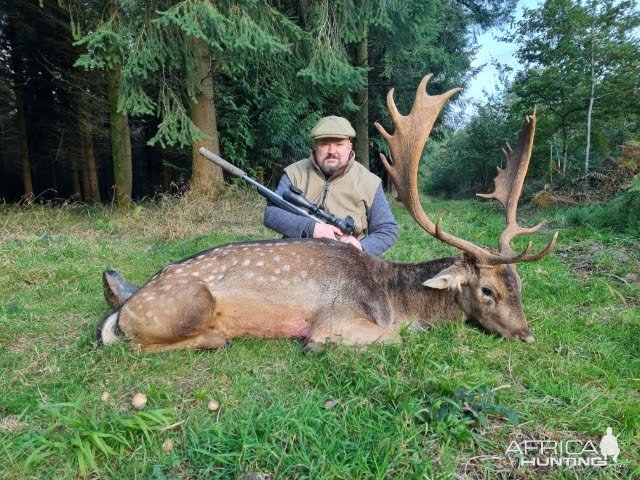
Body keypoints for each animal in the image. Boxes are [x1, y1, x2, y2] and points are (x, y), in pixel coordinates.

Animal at [97, 74, 556, 352]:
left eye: (519, 286)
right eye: (487, 291)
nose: (528, 335)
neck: (394, 301)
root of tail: (126, 307)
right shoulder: (338, 318)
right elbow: (393, 339)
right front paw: (316, 346)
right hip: (187, 302)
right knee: (136, 342)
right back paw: (217, 336)